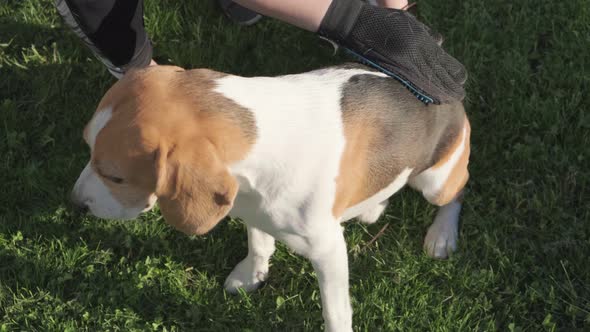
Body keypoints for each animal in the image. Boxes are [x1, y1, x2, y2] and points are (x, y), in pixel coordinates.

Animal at [73, 63, 472, 330]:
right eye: (87, 147)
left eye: (116, 177)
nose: (75, 203)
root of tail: (448, 89)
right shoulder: (253, 210)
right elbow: (260, 245)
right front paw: (252, 274)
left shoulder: (328, 250)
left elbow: (335, 309)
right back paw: (371, 206)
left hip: (436, 181)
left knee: (457, 191)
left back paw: (442, 234)